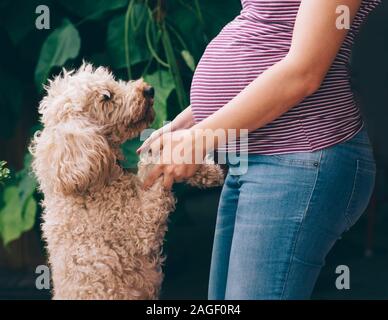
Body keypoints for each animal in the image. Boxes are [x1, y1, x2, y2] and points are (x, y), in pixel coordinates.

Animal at [29, 63, 224, 300]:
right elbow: (154, 167)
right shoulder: (139, 227)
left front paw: (208, 171)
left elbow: (149, 163)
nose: (149, 89)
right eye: (106, 97)